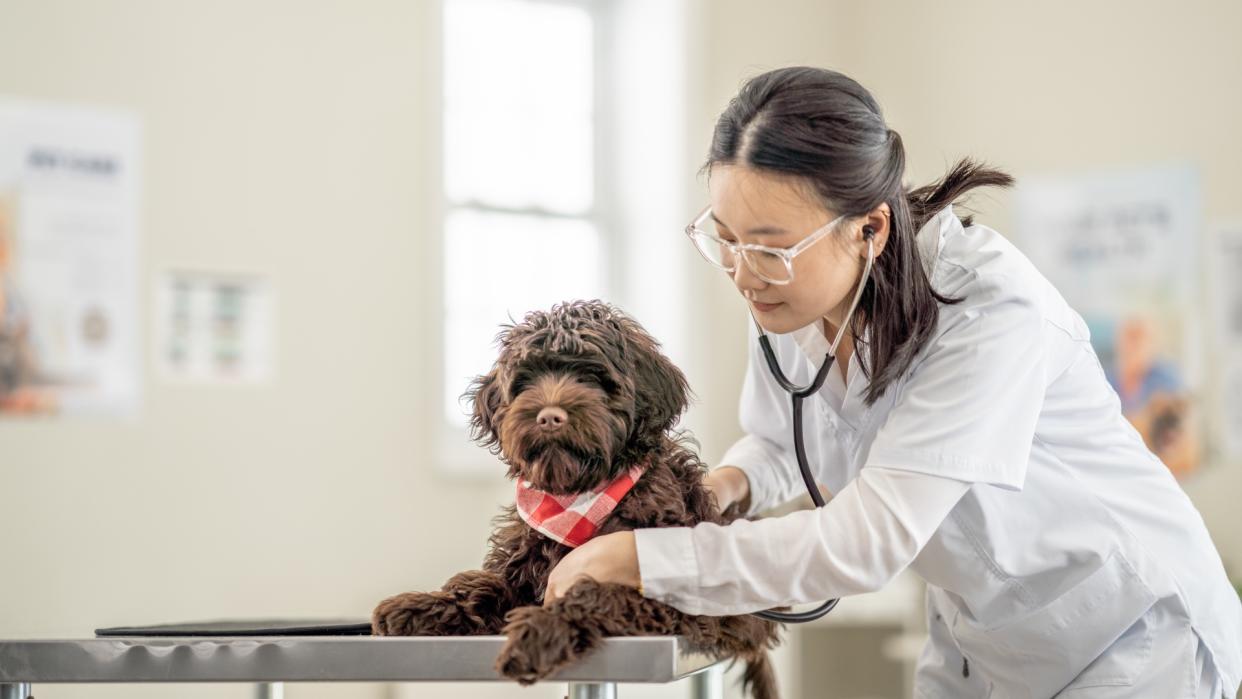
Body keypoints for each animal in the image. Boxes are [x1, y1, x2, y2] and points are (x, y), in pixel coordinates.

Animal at [367, 300, 779, 699]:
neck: (577, 494)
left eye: (592, 376)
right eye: (525, 380)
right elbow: (482, 585)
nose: (549, 417)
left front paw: (539, 631)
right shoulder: (523, 569)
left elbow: (593, 591)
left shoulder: (670, 592)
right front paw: (422, 606)